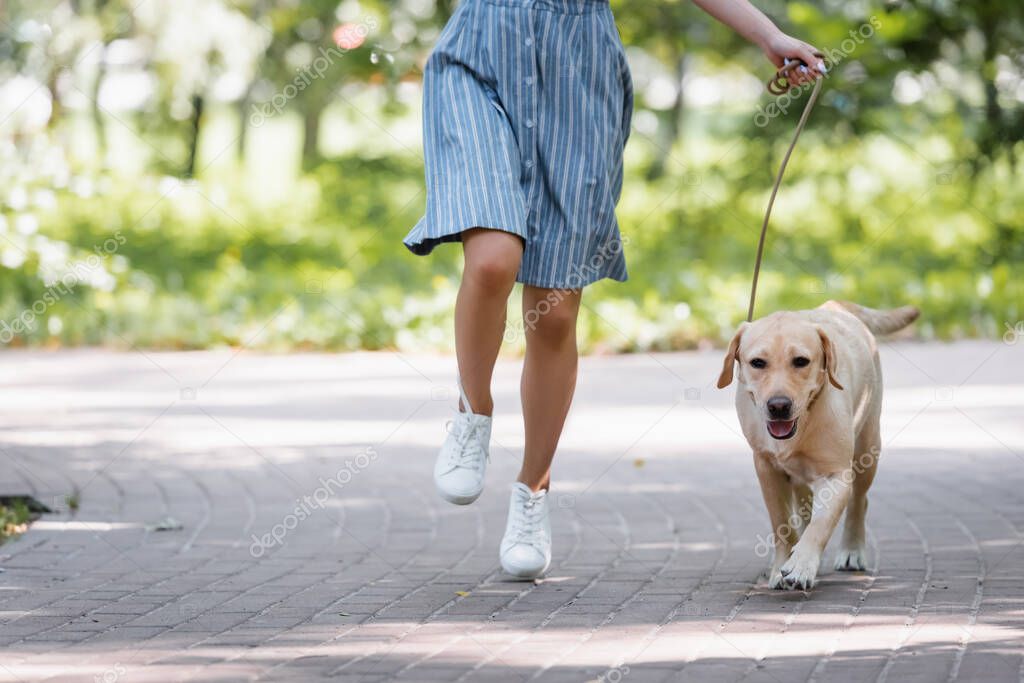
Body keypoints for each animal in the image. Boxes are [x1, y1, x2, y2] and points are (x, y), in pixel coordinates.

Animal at [716, 301, 917, 589]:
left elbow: (821, 523)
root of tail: (836, 305)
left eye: (800, 361)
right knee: (803, 508)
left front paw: (802, 564)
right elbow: (781, 524)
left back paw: (852, 550)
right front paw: (781, 566)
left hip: (868, 448)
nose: (778, 406)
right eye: (757, 363)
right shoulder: (767, 470)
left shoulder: (837, 475)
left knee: (859, 501)